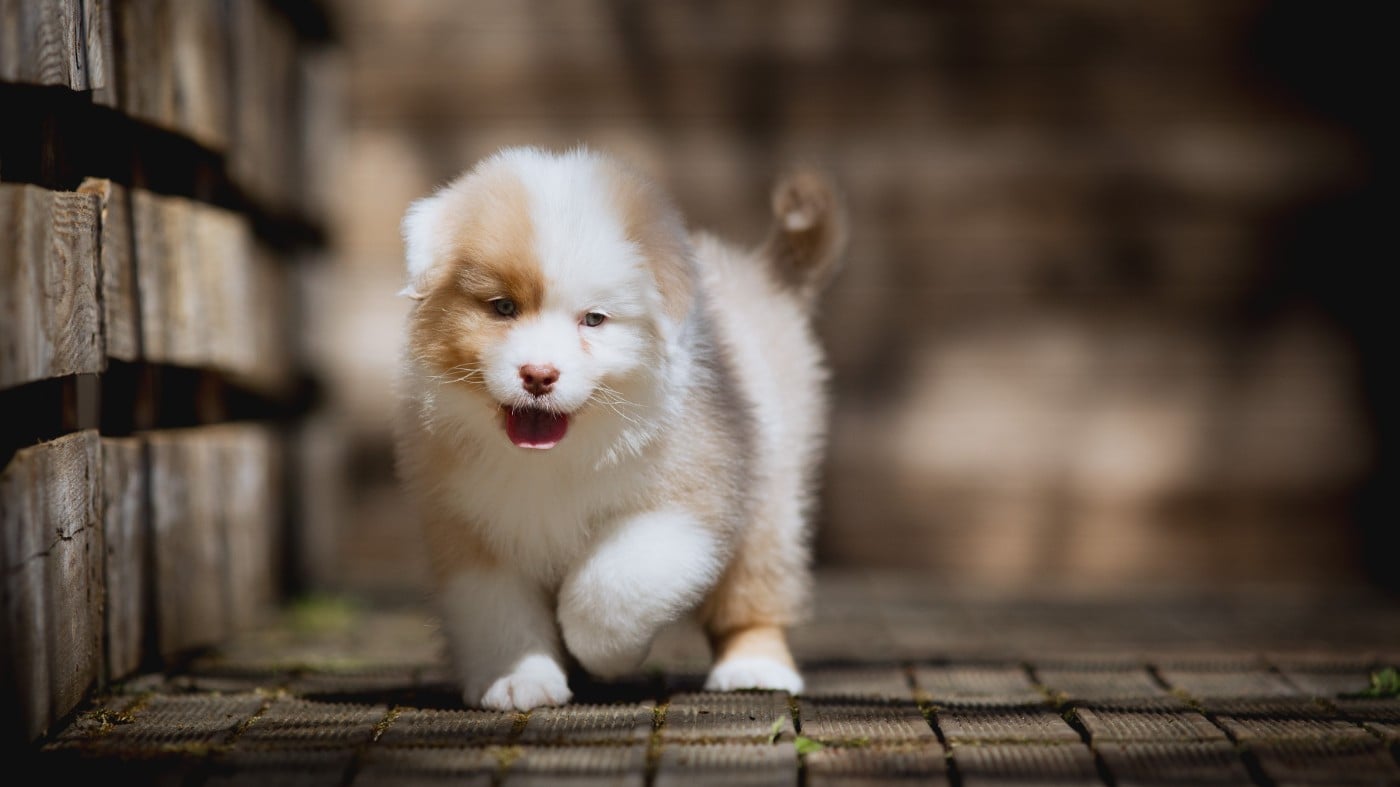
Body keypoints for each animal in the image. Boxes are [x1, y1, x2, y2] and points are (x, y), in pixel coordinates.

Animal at [393, 146, 845, 711]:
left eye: (594, 319)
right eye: (503, 308)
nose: (538, 375)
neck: (557, 455)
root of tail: (760, 276)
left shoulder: (687, 500)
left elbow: (610, 586)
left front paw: (606, 657)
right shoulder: (466, 524)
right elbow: (497, 611)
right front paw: (519, 680)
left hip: (773, 496)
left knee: (754, 593)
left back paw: (755, 667)